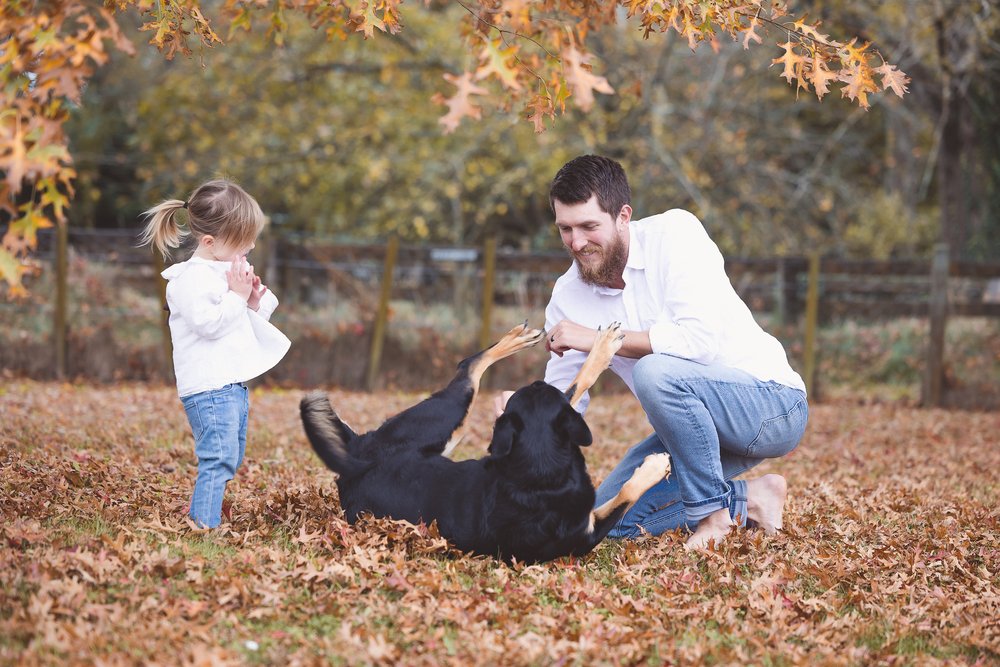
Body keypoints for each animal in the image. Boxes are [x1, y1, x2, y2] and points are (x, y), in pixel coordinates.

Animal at [300, 324, 668, 564]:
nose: (536, 381)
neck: (537, 473)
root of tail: (355, 458)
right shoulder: (588, 532)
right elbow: (625, 494)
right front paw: (655, 466)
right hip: (443, 414)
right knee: (468, 369)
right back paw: (523, 340)